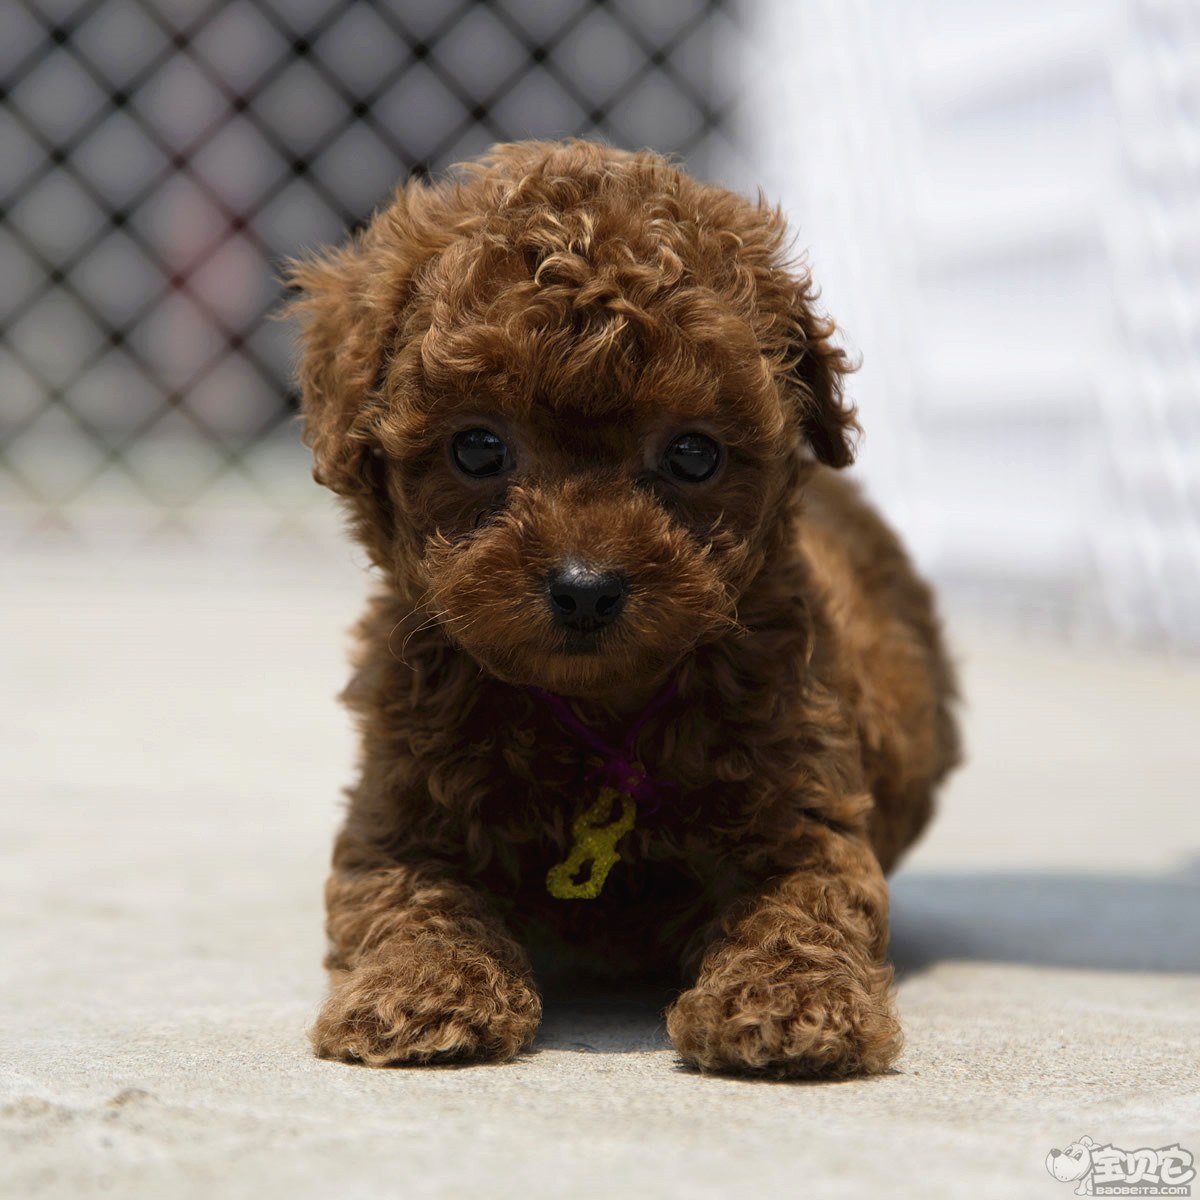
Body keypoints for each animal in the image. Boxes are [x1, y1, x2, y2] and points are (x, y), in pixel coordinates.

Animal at [290, 138, 964, 1080]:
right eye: (477, 447)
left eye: (693, 454)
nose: (585, 586)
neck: (597, 721)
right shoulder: (398, 813)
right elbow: (409, 897)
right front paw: (419, 991)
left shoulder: (804, 806)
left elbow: (805, 902)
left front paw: (790, 1002)